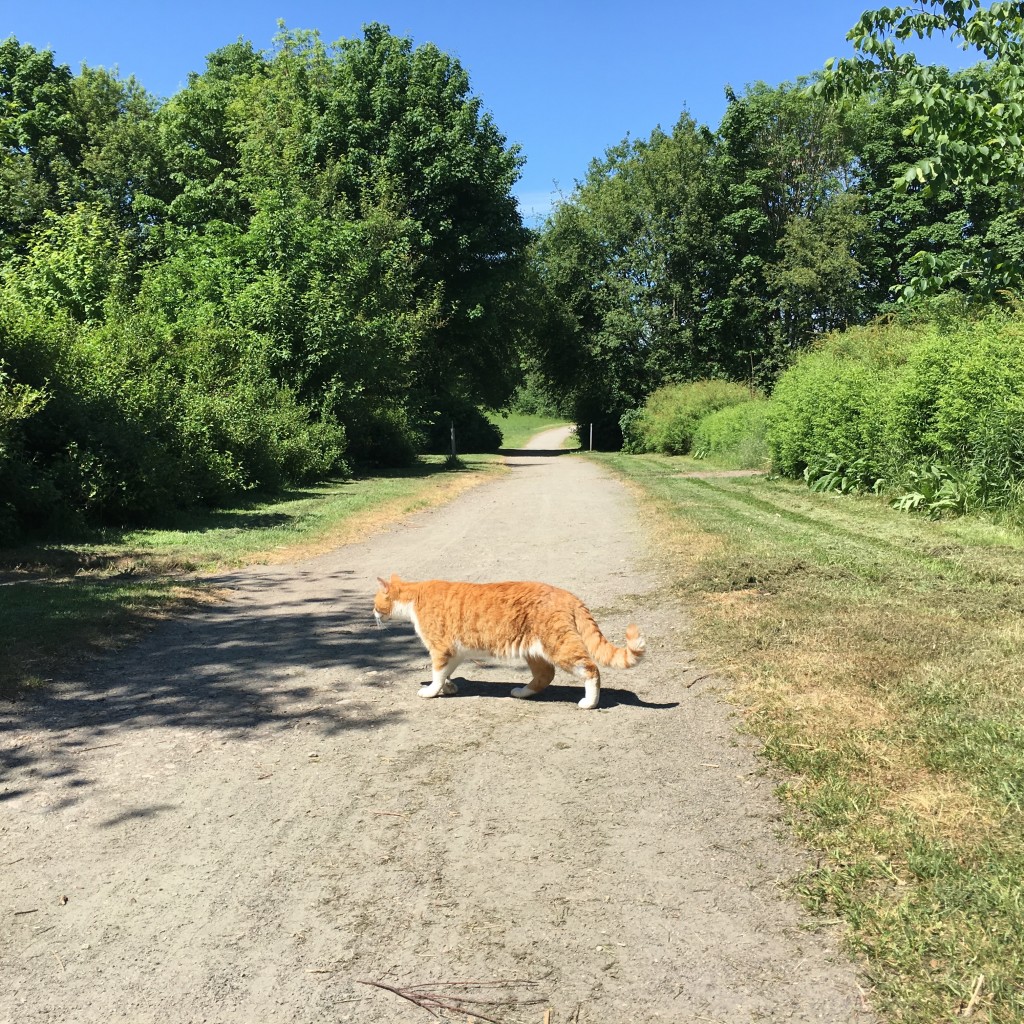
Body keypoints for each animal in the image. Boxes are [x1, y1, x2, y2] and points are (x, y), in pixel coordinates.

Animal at [372, 577, 643, 712]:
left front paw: (431, 691)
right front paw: (448, 687)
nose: (373, 612)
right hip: (535, 651)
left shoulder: (440, 648)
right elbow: (446, 673)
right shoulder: (455, 652)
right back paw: (522, 692)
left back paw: (590, 702)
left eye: (375, 603)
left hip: (559, 646)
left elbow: (436, 674)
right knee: (545, 675)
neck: (415, 597)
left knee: (591, 669)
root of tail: (568, 595)